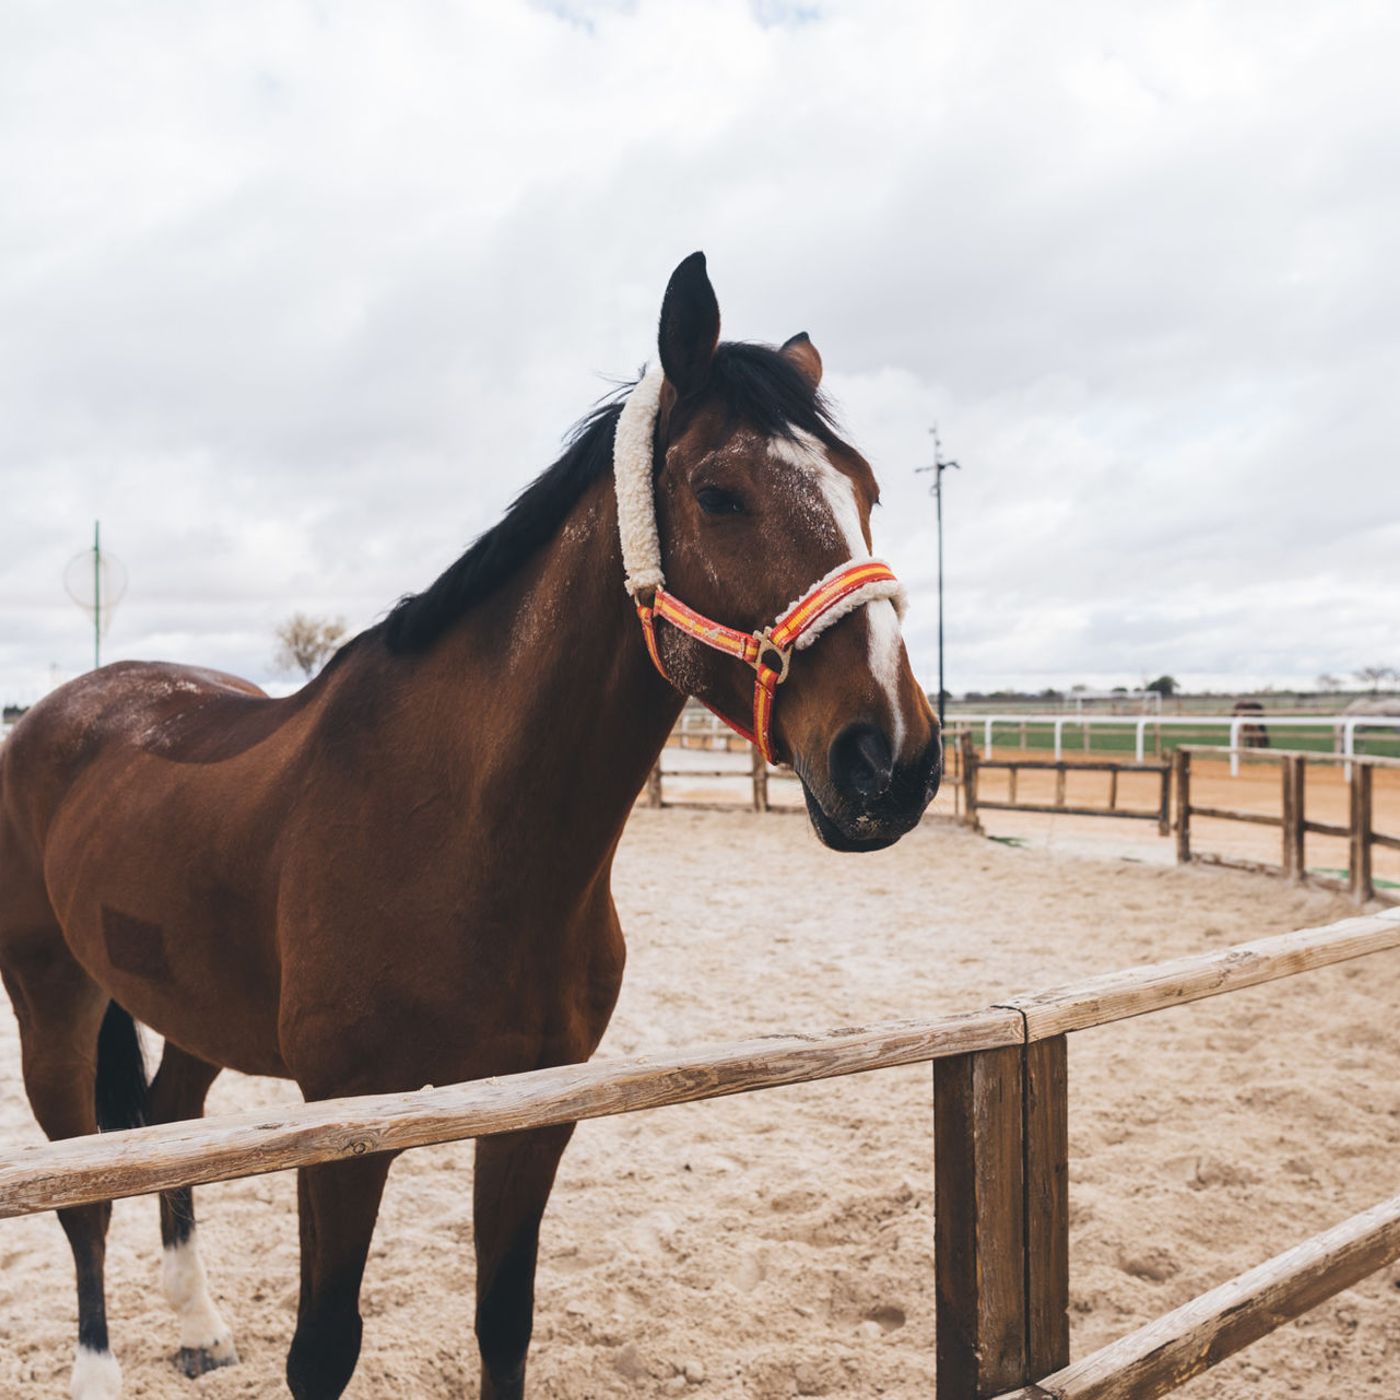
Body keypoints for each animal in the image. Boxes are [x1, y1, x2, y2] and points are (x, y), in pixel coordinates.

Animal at [0, 252, 941, 1399]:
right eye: (719, 493)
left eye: (867, 491)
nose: (891, 758)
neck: (464, 836)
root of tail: (54, 715)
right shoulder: (344, 1128)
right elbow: (322, 1349)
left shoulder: (531, 1117)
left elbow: (503, 1322)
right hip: (51, 1000)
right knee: (83, 1196)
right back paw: (99, 1366)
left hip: (184, 1007)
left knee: (171, 1128)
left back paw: (199, 1323)